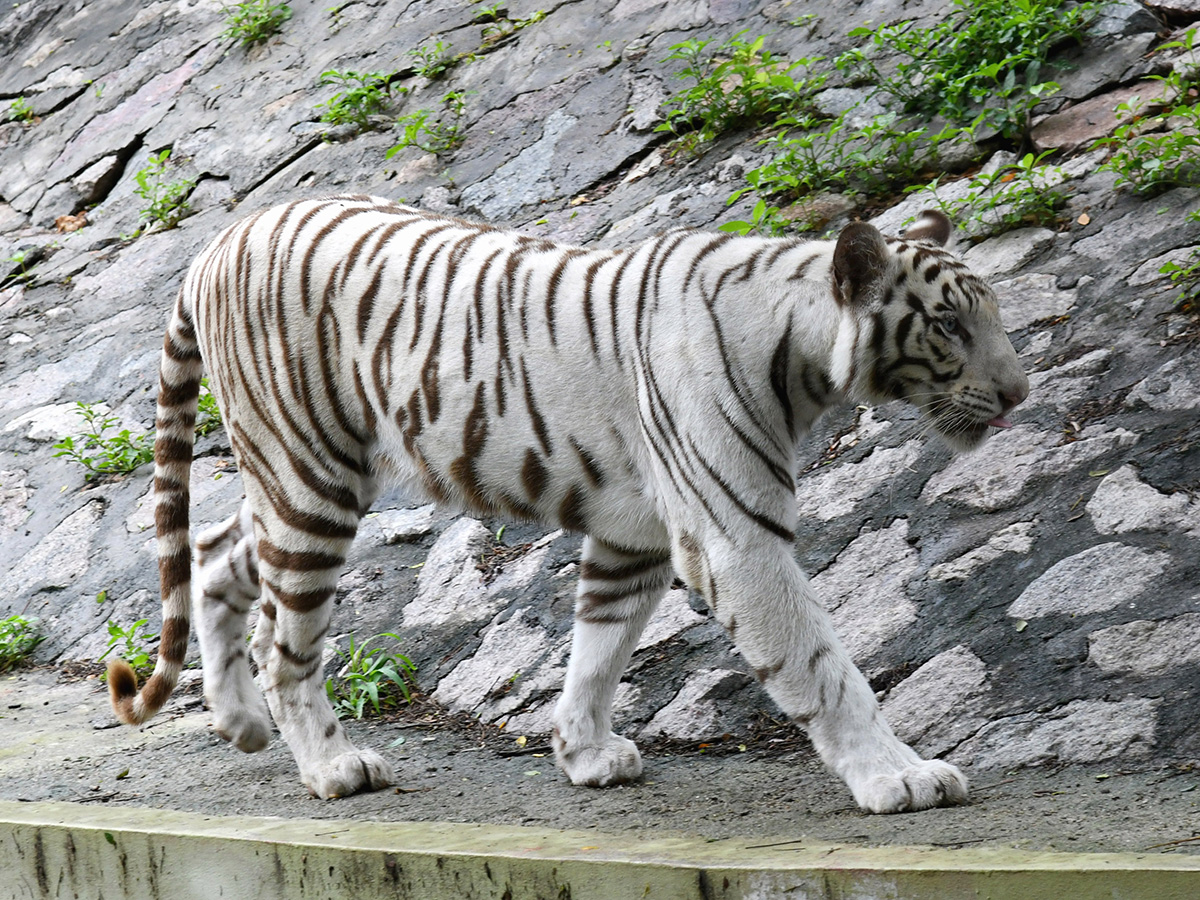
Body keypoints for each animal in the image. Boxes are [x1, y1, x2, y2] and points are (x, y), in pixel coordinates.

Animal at [107, 195, 1028, 814]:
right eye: (949, 326)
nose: (1021, 394)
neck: (801, 356)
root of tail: (215, 241)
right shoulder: (737, 540)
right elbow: (826, 670)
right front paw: (900, 775)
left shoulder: (635, 533)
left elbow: (599, 648)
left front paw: (581, 752)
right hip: (312, 475)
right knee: (283, 641)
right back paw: (332, 767)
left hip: (300, 478)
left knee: (216, 551)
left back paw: (238, 723)